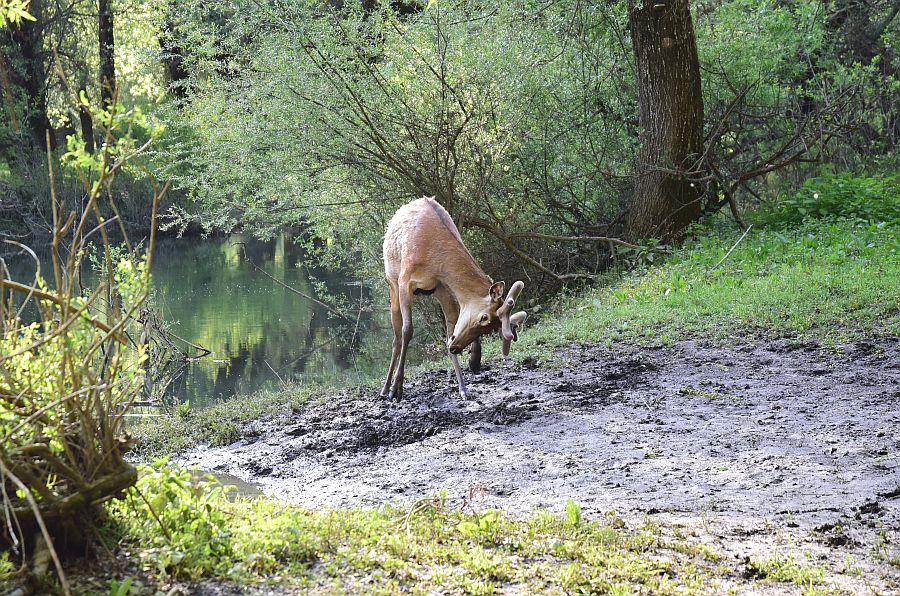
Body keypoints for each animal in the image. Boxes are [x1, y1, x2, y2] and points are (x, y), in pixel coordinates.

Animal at [380, 199, 528, 400]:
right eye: (484, 317)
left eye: (492, 327)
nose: (455, 348)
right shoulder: (405, 281)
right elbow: (407, 330)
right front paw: (397, 389)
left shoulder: (443, 288)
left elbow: (450, 329)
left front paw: (465, 383)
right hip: (392, 284)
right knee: (396, 338)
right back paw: (385, 388)